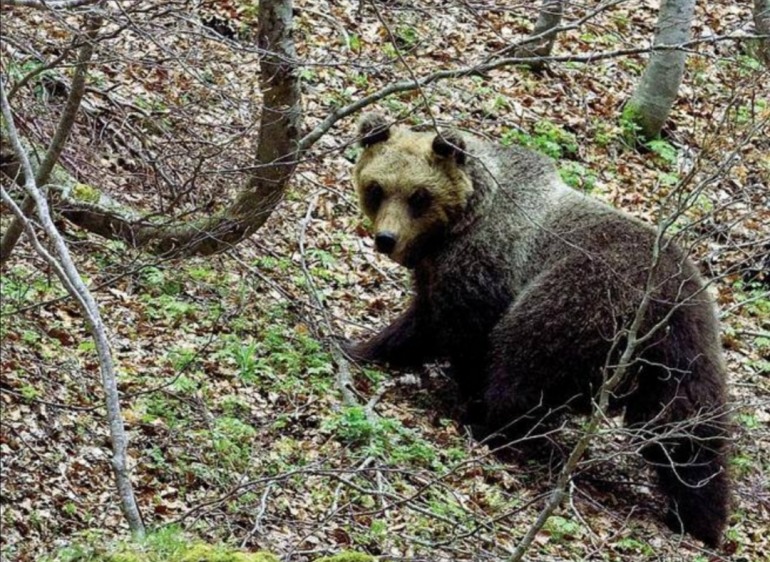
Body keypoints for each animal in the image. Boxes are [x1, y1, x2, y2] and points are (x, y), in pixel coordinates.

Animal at [344, 111, 728, 544]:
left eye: (419, 196)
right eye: (377, 188)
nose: (386, 239)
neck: (460, 223)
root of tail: (655, 304)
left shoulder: (485, 264)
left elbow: (454, 330)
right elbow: (421, 320)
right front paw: (358, 344)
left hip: (577, 301)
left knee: (523, 363)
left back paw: (492, 424)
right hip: (685, 343)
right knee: (689, 426)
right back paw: (701, 515)